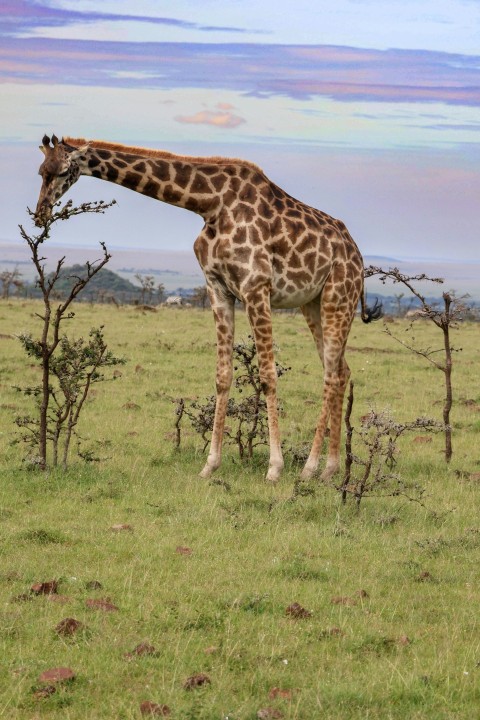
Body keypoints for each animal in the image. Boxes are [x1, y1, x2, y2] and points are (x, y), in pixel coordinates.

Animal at [35, 134, 381, 483]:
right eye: (41, 171)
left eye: (62, 172)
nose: (40, 214)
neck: (210, 204)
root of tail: (358, 255)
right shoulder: (218, 288)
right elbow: (223, 375)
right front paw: (210, 464)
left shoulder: (256, 287)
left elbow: (268, 375)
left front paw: (274, 467)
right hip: (312, 302)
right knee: (339, 370)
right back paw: (329, 468)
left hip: (339, 295)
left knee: (332, 374)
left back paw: (311, 467)